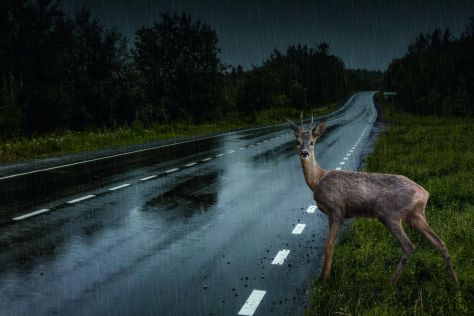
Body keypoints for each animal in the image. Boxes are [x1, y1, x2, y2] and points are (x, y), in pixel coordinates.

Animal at [286, 115, 458, 284]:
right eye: (297, 142)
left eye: (312, 142)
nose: (304, 153)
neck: (318, 180)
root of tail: (424, 193)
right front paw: (325, 276)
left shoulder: (336, 209)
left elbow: (329, 245)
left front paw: (324, 278)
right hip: (415, 215)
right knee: (439, 242)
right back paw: (454, 281)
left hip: (389, 213)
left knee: (409, 246)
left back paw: (390, 282)